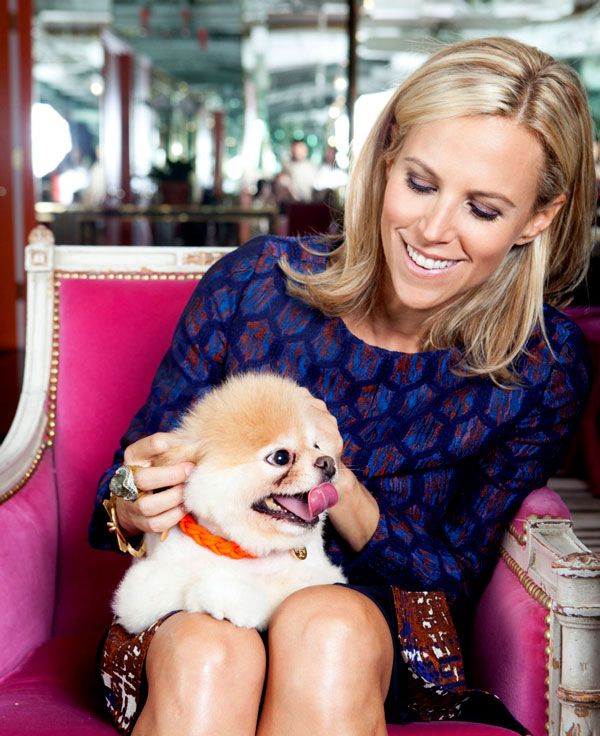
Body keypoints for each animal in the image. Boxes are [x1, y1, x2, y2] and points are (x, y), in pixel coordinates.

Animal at [113, 374, 346, 632]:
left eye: (317, 446)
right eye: (281, 457)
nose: (328, 462)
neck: (242, 550)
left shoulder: (321, 573)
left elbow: (280, 584)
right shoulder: (138, 592)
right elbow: (186, 577)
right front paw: (228, 596)